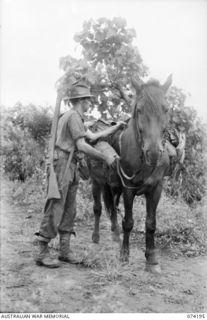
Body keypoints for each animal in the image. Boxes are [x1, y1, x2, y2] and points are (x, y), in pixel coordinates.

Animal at [87, 75, 173, 272]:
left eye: (166, 109)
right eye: (139, 110)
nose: (153, 153)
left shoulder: (156, 189)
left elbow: (151, 224)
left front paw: (151, 258)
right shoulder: (129, 188)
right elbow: (128, 221)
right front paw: (124, 255)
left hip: (112, 186)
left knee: (112, 208)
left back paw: (115, 235)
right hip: (97, 182)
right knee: (98, 209)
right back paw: (96, 237)